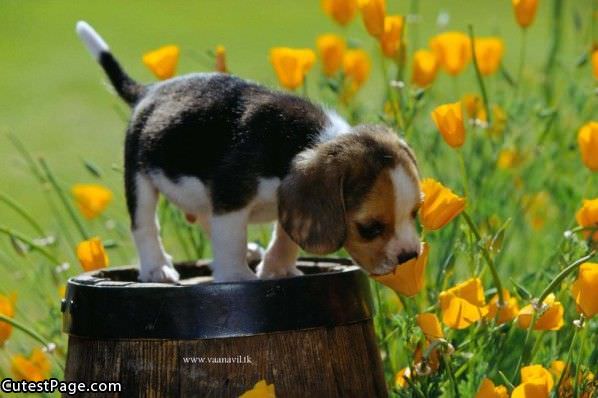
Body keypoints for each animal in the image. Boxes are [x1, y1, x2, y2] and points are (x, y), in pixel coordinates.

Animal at [77, 21, 424, 282]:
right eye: (369, 228)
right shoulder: (232, 199)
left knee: (206, 219)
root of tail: (149, 92)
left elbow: (285, 235)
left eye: (415, 212)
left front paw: (277, 268)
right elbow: (231, 239)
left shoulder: (287, 202)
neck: (309, 140)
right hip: (139, 177)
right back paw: (157, 269)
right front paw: (237, 277)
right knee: (145, 224)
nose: (409, 257)